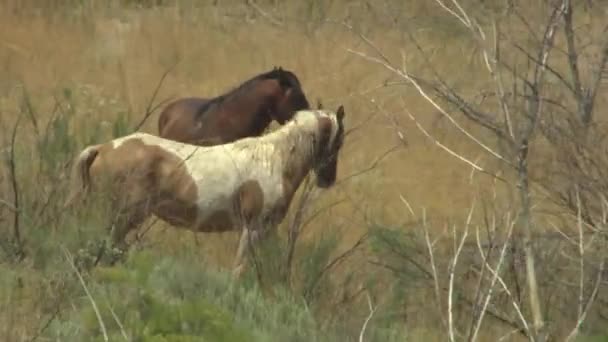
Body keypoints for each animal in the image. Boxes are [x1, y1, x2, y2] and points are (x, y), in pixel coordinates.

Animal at [65, 105, 346, 276]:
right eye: (339, 140)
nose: (328, 179)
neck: (274, 159)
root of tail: (102, 148)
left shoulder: (267, 230)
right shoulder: (252, 228)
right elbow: (239, 270)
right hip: (121, 216)